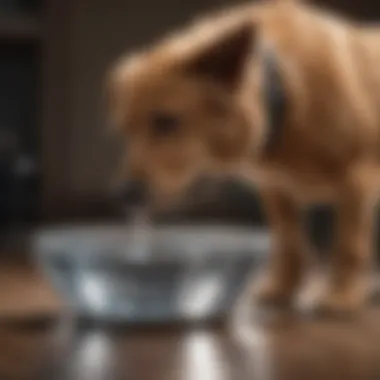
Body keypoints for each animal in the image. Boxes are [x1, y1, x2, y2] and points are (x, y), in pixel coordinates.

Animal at [105, 0, 380, 314]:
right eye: (124, 131)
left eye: (166, 122)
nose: (124, 194)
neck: (282, 89)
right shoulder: (275, 189)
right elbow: (289, 242)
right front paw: (281, 289)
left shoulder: (356, 181)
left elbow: (348, 245)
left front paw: (341, 295)